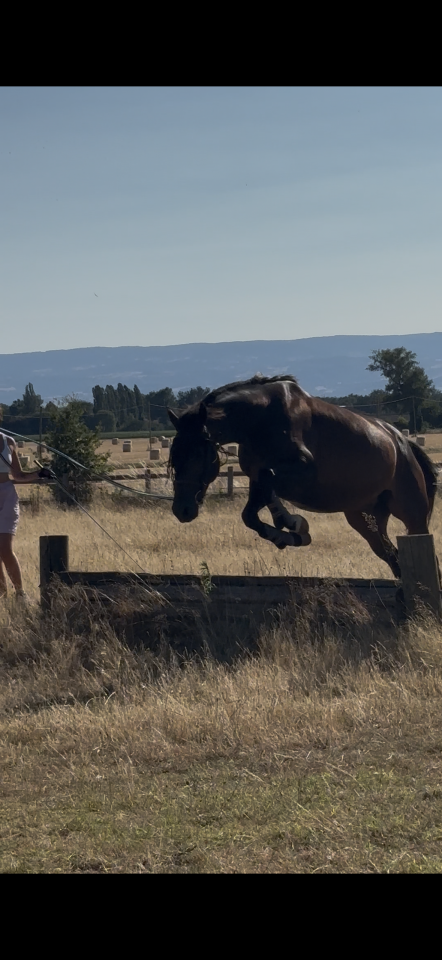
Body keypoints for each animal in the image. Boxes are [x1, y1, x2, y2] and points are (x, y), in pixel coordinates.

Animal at [167, 374, 439, 579]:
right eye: (173, 457)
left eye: (198, 453)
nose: (182, 510)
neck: (258, 420)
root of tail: (402, 440)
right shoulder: (256, 476)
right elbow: (253, 510)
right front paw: (289, 531)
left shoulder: (304, 470)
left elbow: (266, 481)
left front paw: (293, 526)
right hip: (364, 517)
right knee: (391, 556)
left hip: (411, 511)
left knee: (419, 545)